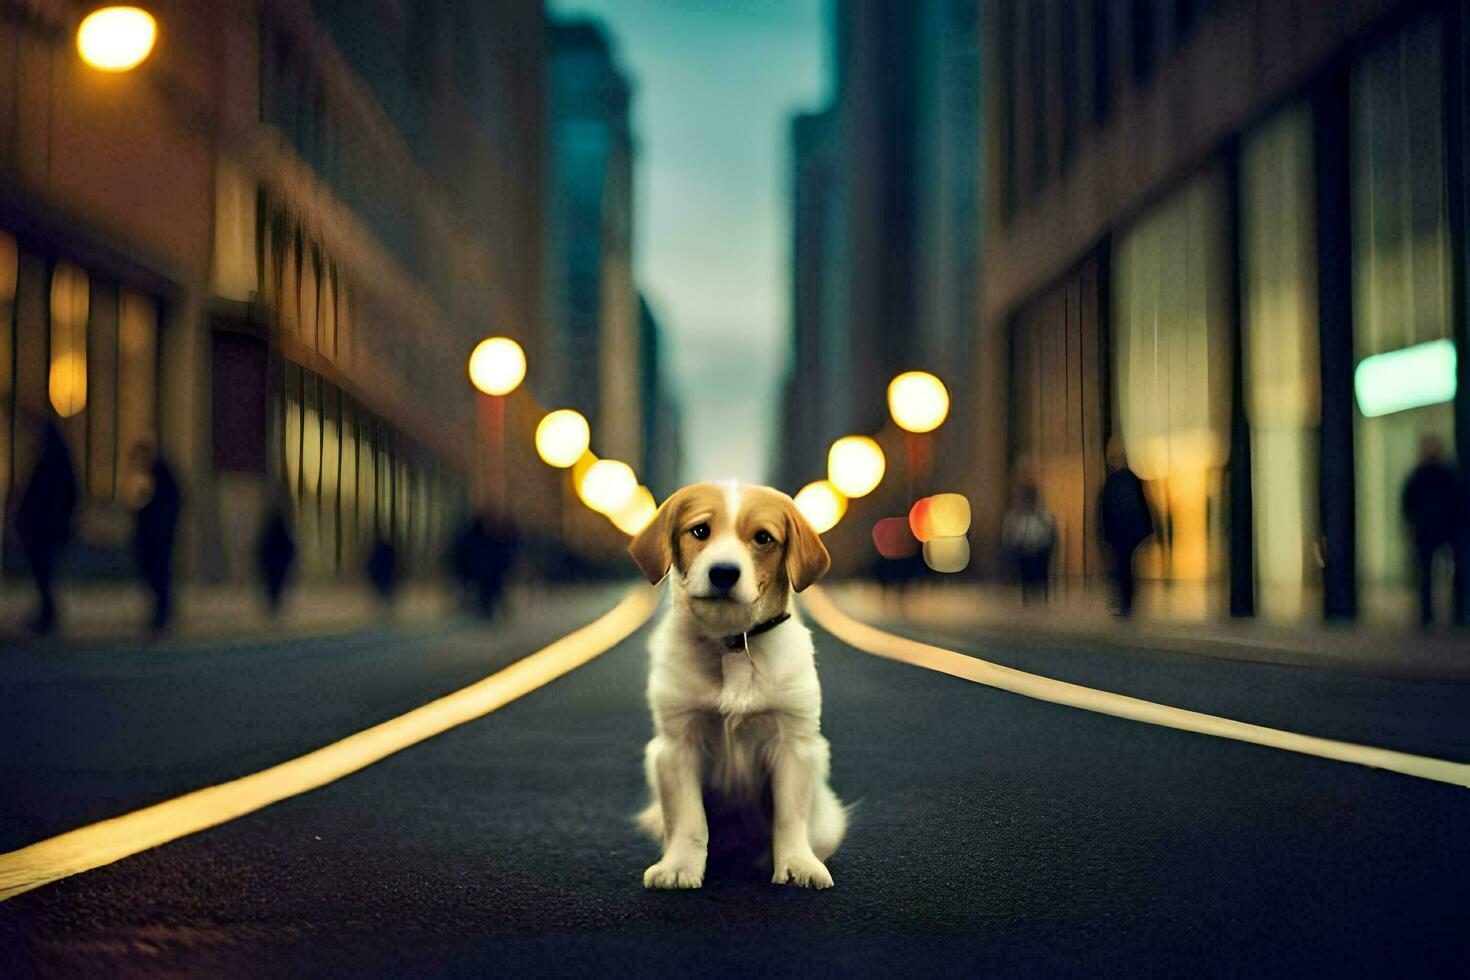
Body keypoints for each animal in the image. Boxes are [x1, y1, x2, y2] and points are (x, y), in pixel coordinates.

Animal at [626, 481, 846, 887]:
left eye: (762, 538)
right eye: (700, 530)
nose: (724, 573)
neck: (732, 641)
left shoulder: (793, 744)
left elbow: (790, 816)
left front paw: (798, 864)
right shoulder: (677, 745)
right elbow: (689, 819)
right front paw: (679, 866)